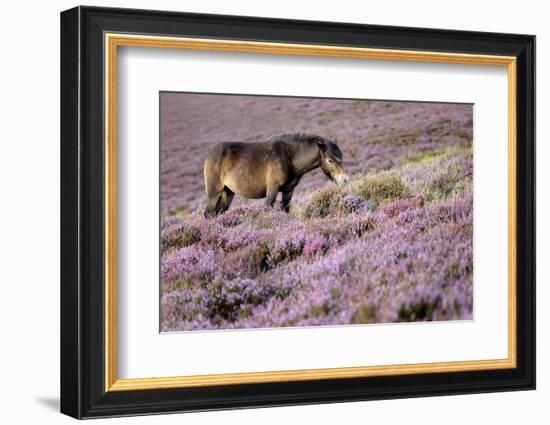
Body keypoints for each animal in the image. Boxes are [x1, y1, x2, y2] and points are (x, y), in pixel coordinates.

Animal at [205, 132, 352, 217]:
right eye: (330, 160)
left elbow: (285, 210)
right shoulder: (272, 189)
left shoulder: (288, 190)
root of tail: (210, 154)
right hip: (214, 194)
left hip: (228, 192)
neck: (289, 156)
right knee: (208, 214)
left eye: (341, 156)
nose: (344, 180)